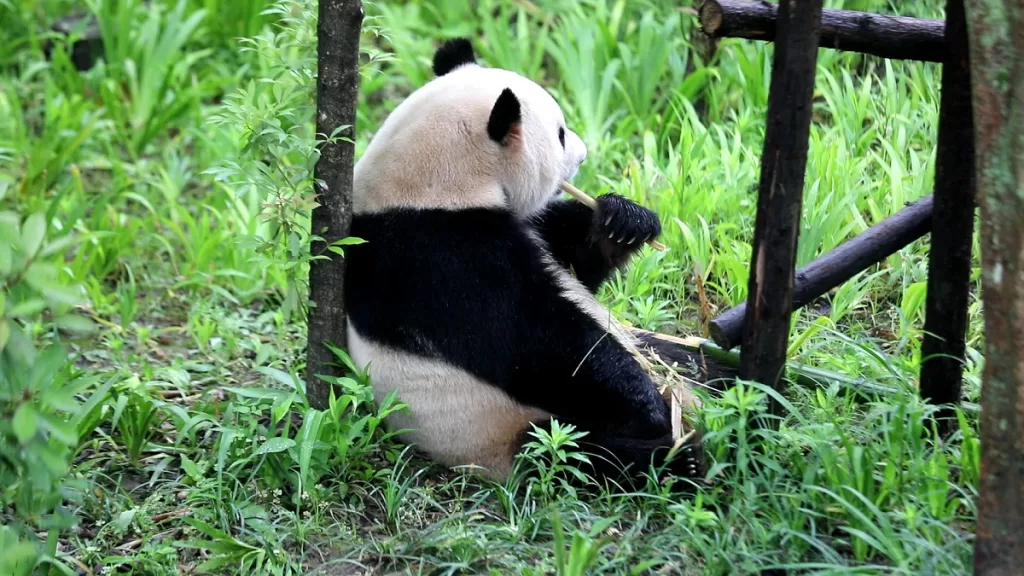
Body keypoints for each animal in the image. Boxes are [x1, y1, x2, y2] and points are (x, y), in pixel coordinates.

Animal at [343, 38, 705, 492]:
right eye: (561, 134)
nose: (584, 155)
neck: (426, 183)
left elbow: (572, 259)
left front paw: (624, 221)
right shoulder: (440, 257)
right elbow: (539, 342)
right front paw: (650, 405)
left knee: (687, 358)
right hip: (500, 429)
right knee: (579, 454)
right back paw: (674, 460)